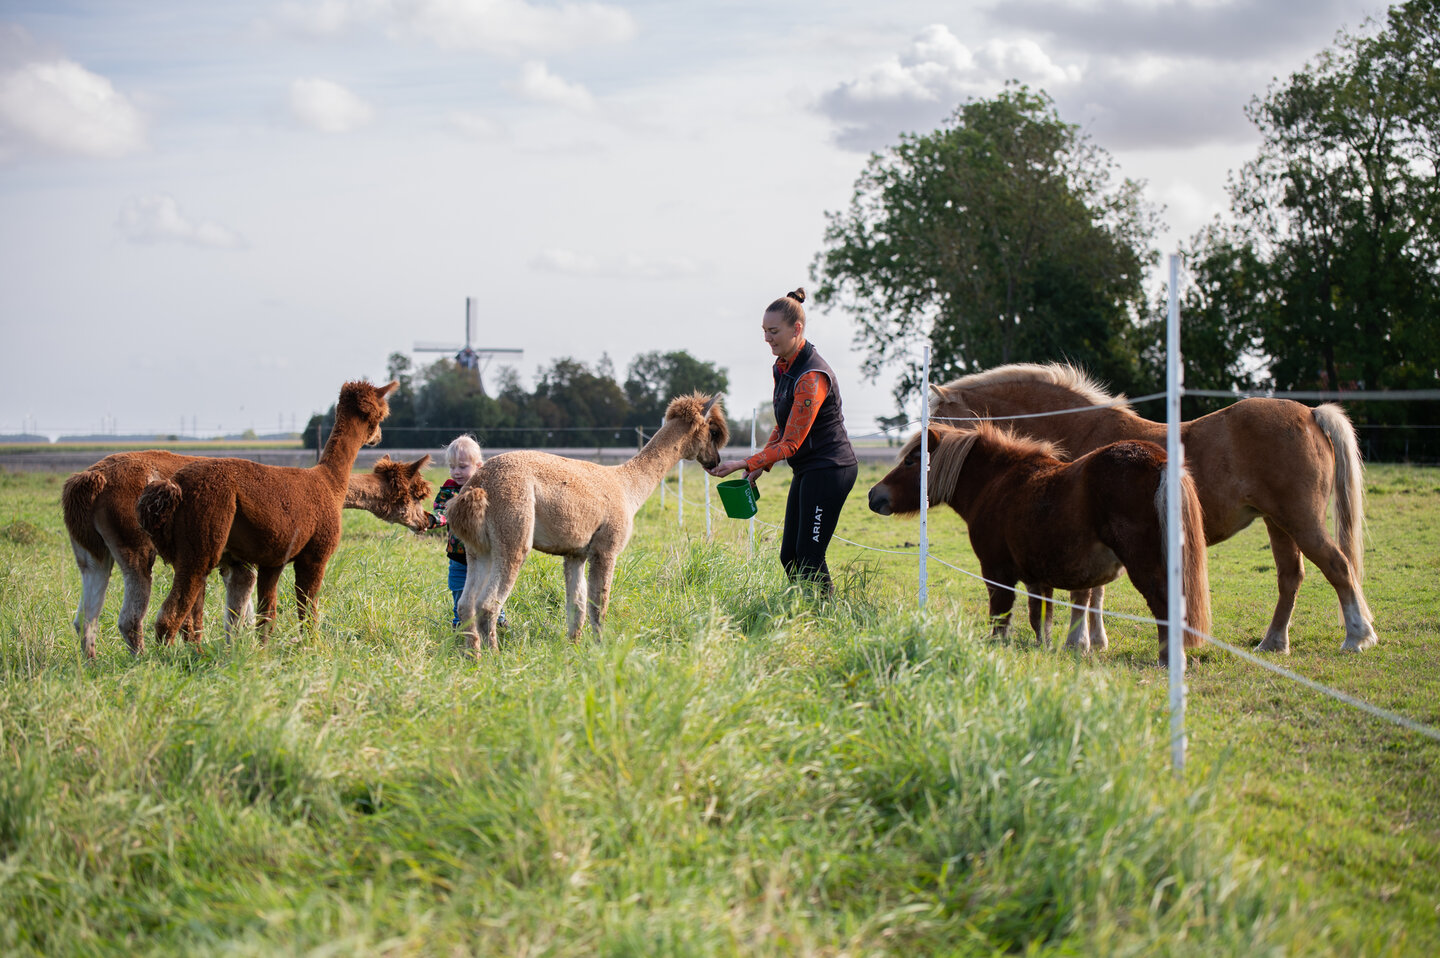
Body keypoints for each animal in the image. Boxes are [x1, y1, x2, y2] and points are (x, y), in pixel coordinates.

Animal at [62, 449, 433, 656]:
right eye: (416, 494)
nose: (428, 520)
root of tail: (89, 480)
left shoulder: (237, 558)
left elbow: (239, 610)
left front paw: (238, 650)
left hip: (92, 551)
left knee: (85, 617)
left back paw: (91, 663)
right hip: (137, 544)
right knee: (130, 618)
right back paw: (142, 662)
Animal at [137, 380, 396, 645]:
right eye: (381, 414)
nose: (378, 436)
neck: (330, 482)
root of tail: (175, 487)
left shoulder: (274, 559)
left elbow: (267, 616)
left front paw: (264, 649)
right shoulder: (314, 555)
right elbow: (307, 610)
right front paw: (312, 645)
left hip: (190, 549)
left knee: (191, 621)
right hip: (201, 540)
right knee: (170, 616)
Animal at [447, 393, 728, 654]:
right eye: (713, 432)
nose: (716, 461)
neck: (627, 486)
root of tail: (478, 484)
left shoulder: (576, 553)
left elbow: (577, 605)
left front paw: (575, 647)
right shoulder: (606, 548)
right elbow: (599, 602)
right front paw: (601, 647)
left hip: (479, 548)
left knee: (466, 604)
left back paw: (474, 656)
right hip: (513, 531)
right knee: (488, 604)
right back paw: (494, 658)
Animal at [868, 423, 1210, 665]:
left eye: (911, 461)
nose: (874, 495)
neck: (996, 483)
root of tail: (1160, 460)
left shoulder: (997, 572)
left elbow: (1001, 614)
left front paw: (997, 645)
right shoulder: (1038, 576)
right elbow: (1040, 619)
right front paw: (1044, 648)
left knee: (1164, 604)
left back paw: (1169, 659)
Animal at [929, 363, 1373, 654]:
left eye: (937, 414)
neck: (1079, 429)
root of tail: (1311, 413)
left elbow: (1084, 592)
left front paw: (1078, 641)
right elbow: (1096, 592)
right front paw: (1096, 639)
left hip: (1300, 520)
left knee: (1337, 567)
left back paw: (1357, 636)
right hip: (1278, 524)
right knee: (1291, 577)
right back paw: (1274, 642)